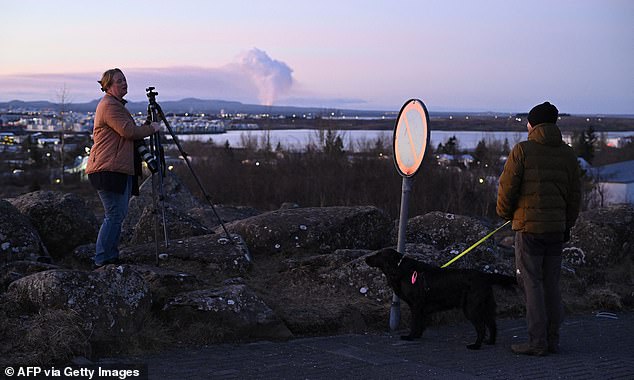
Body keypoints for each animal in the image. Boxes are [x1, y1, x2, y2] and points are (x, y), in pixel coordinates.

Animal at [366, 246, 512, 350]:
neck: (401, 270)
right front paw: (417, 336)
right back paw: (490, 342)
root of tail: (485, 276)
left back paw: (475, 346)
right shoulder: (422, 307)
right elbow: (421, 323)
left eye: (378, 254)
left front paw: (410, 337)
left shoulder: (416, 305)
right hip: (486, 307)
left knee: (481, 328)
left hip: (471, 308)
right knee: (492, 325)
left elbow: (415, 323)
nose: (366, 258)